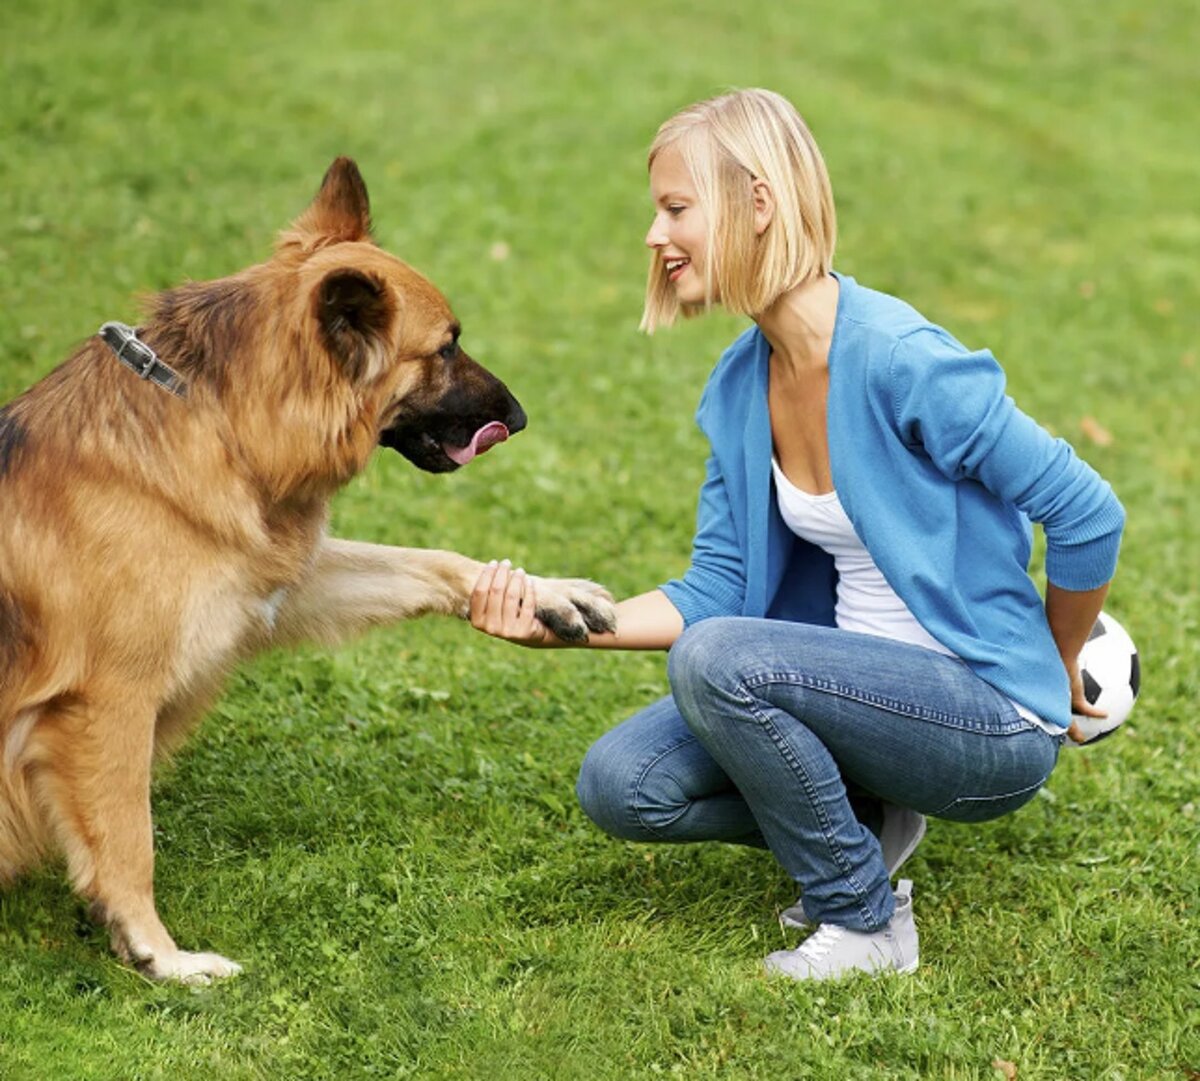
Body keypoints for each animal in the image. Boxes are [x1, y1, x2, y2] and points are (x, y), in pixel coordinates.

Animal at [0, 158, 619, 979]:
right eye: (446, 348)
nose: (517, 419)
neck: (217, 419)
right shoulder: (106, 705)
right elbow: (129, 844)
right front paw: (161, 956)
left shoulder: (270, 586)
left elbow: (428, 562)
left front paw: (546, 593)